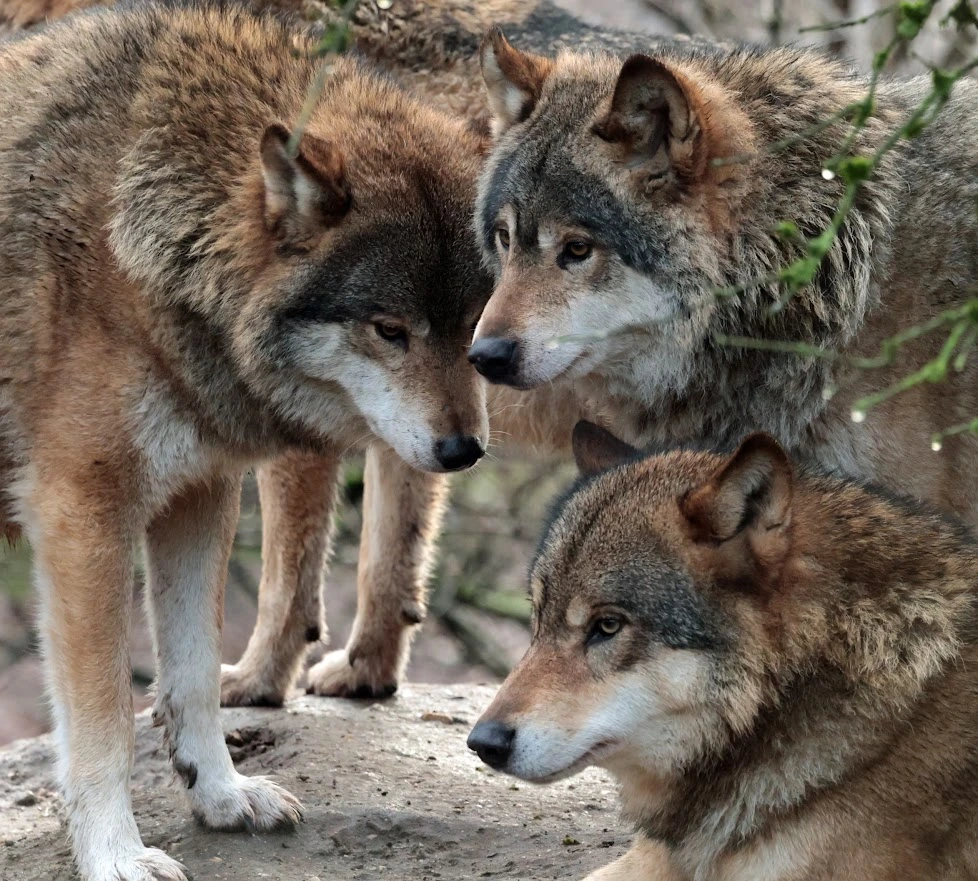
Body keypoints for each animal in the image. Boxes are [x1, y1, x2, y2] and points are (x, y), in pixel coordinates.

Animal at [0, 3, 491, 878]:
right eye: (389, 329)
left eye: (472, 322)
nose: (464, 451)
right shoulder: (81, 514)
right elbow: (103, 717)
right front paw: (116, 854)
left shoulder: (200, 493)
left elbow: (192, 674)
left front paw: (222, 794)